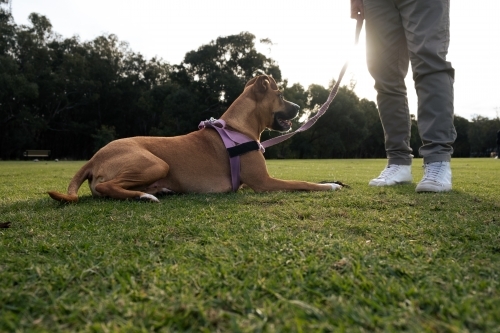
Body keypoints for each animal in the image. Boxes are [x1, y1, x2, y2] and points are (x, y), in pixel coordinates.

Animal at [47, 74, 344, 202]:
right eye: (280, 95)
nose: (299, 107)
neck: (236, 128)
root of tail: (93, 159)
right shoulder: (264, 182)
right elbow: (302, 183)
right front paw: (330, 185)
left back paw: (158, 190)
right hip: (155, 163)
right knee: (106, 188)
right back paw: (146, 196)